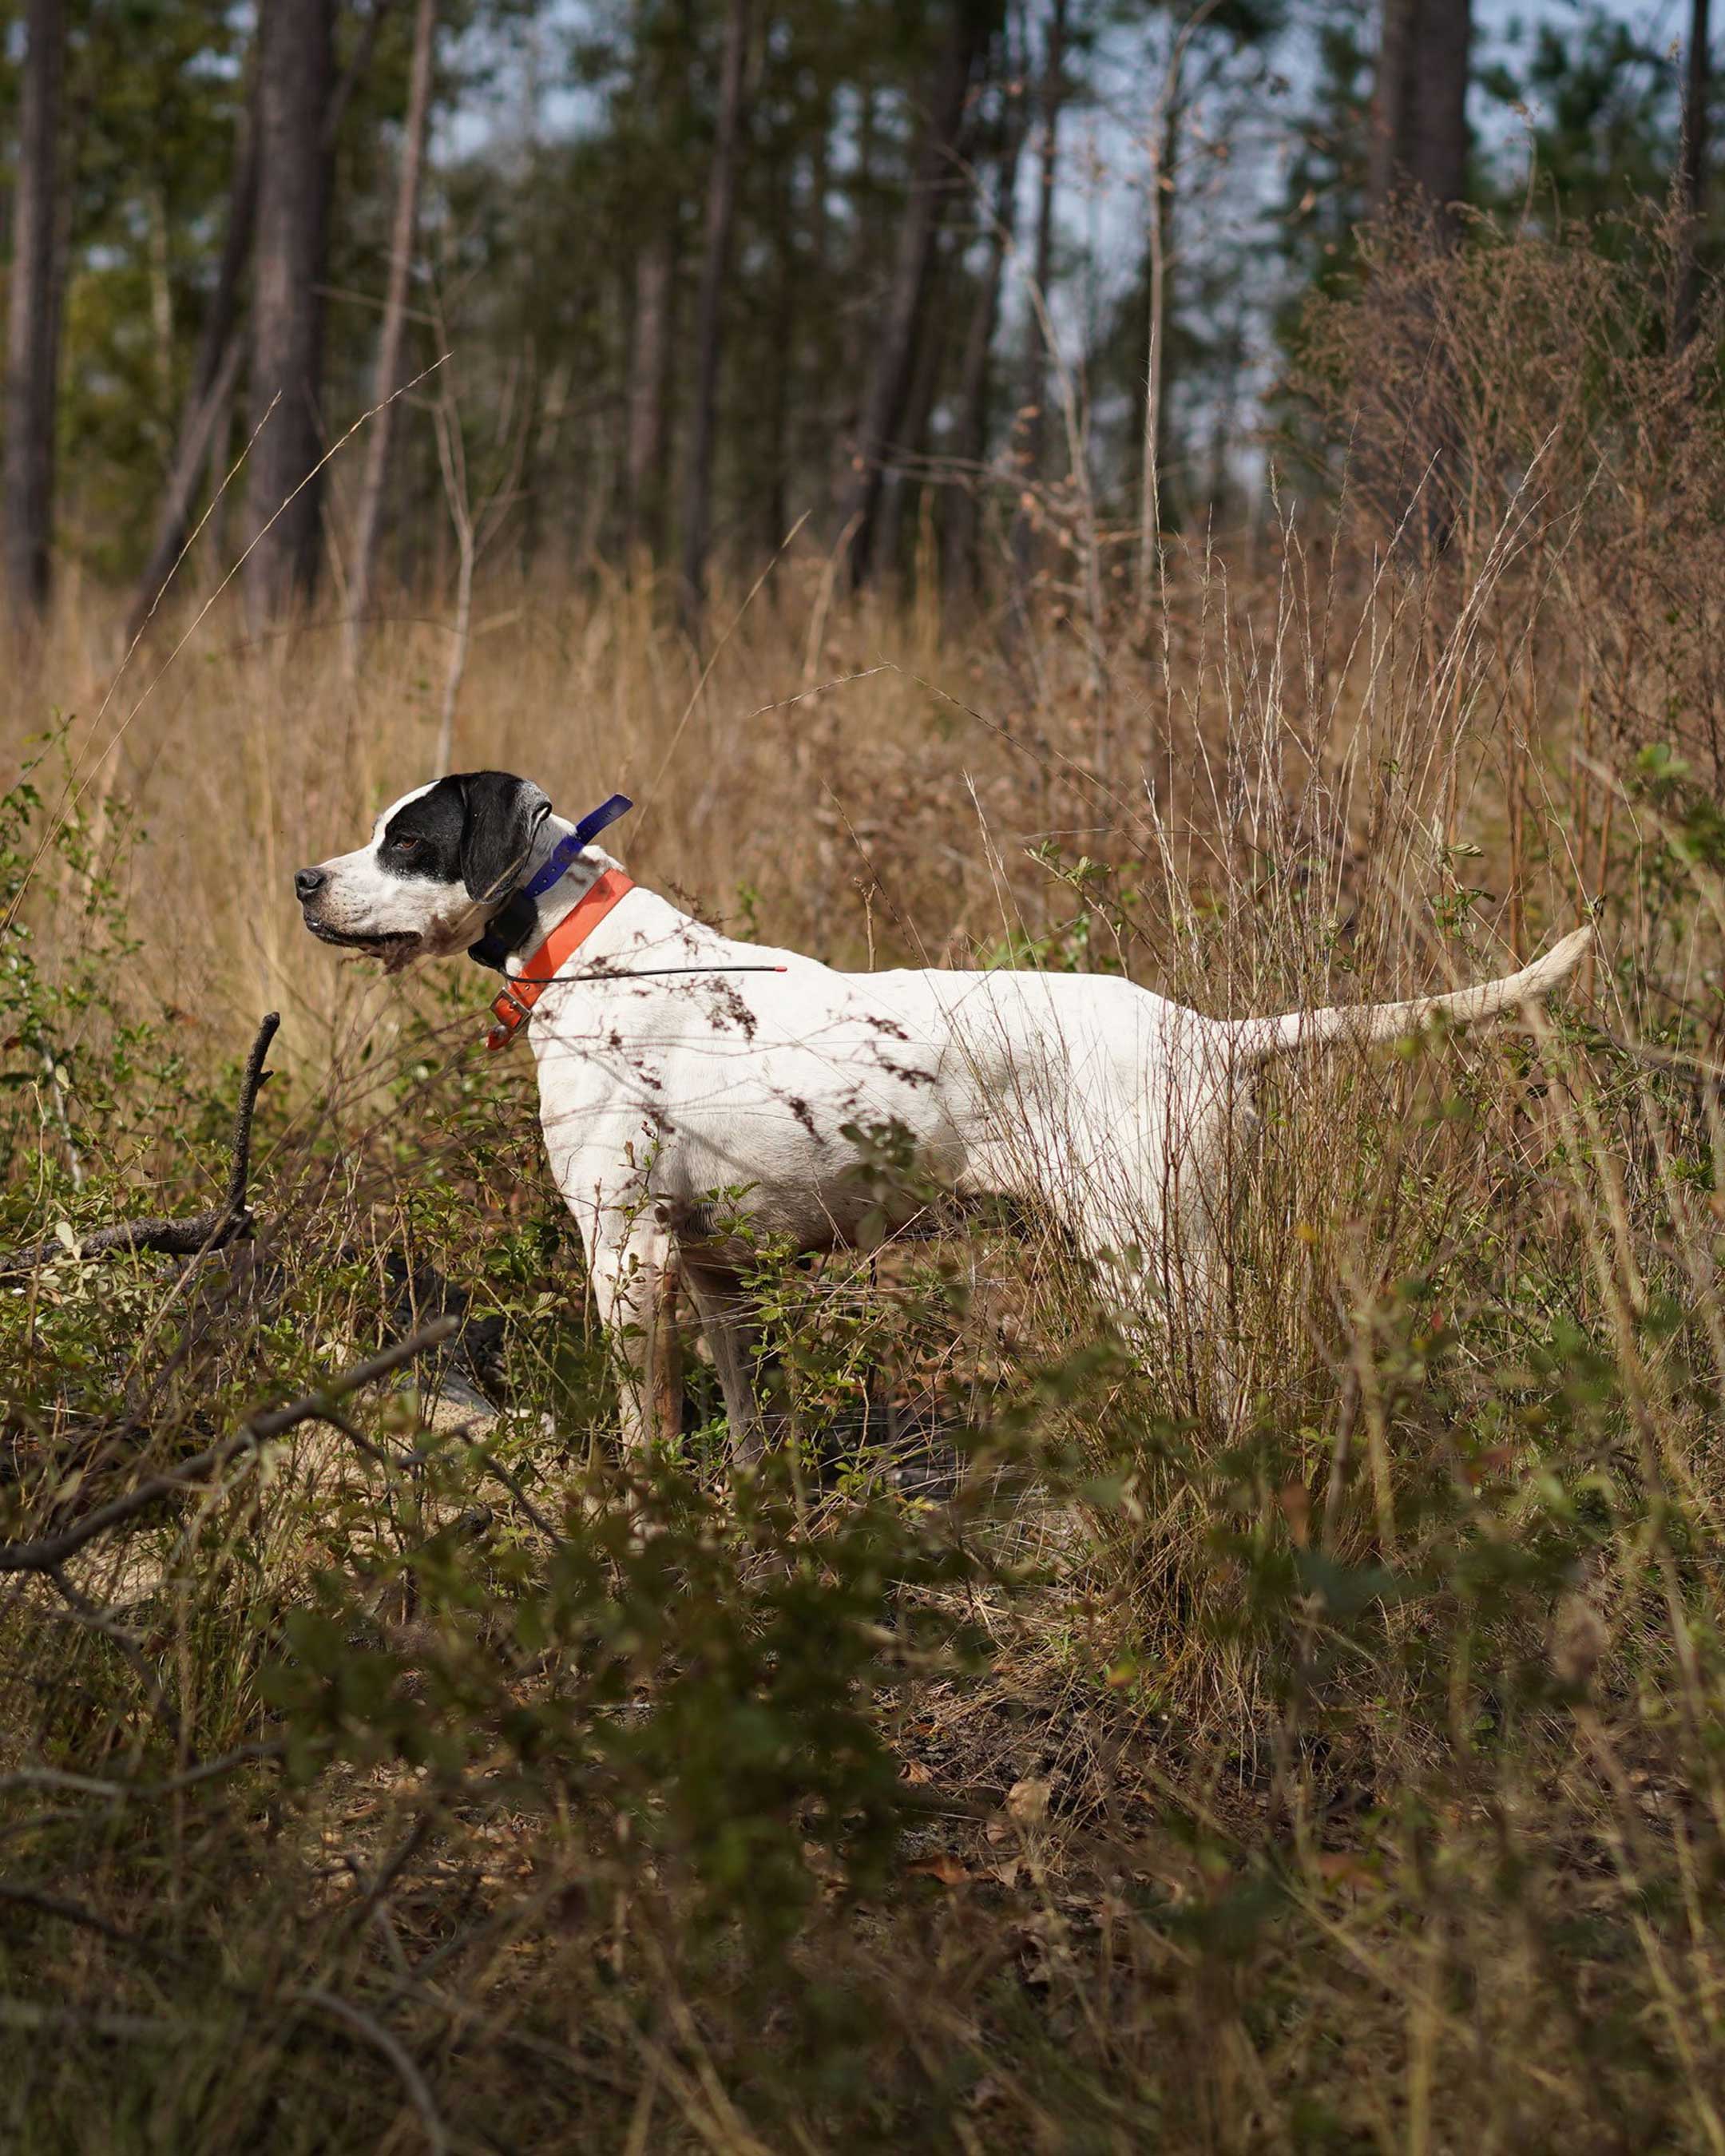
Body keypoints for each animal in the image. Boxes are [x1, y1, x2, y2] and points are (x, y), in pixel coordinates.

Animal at [293, 767, 1587, 1457]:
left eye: (408, 841)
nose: (306, 880)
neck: (589, 956)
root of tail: (1209, 1037)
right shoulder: (707, 1266)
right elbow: (743, 1414)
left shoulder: (624, 1253)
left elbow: (641, 1427)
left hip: (1149, 1262)